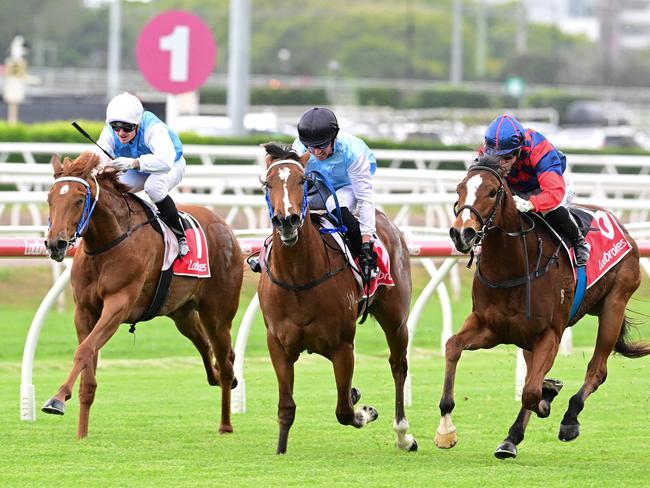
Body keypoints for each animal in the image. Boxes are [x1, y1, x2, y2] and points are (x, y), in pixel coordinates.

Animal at [42, 152, 243, 438]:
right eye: (50, 198)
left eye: (79, 199)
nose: (55, 244)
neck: (107, 243)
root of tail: (225, 226)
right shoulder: (84, 311)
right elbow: (88, 367)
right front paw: (82, 433)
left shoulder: (118, 305)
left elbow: (84, 350)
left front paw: (57, 399)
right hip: (182, 313)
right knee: (206, 347)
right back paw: (217, 377)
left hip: (217, 313)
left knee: (225, 360)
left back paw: (225, 423)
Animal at [256, 143, 416, 456]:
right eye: (267, 184)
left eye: (302, 181)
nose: (287, 221)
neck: (299, 278)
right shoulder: (278, 345)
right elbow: (286, 407)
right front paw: (280, 449)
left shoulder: (343, 346)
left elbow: (344, 411)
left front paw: (363, 410)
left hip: (396, 320)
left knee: (398, 366)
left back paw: (404, 436)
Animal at [436, 155, 648, 458]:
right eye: (459, 189)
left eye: (492, 192)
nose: (461, 233)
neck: (510, 267)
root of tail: (623, 228)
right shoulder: (489, 327)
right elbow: (453, 346)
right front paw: (445, 430)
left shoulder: (549, 334)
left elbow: (531, 391)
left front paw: (549, 398)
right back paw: (511, 439)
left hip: (614, 305)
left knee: (597, 370)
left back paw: (569, 419)